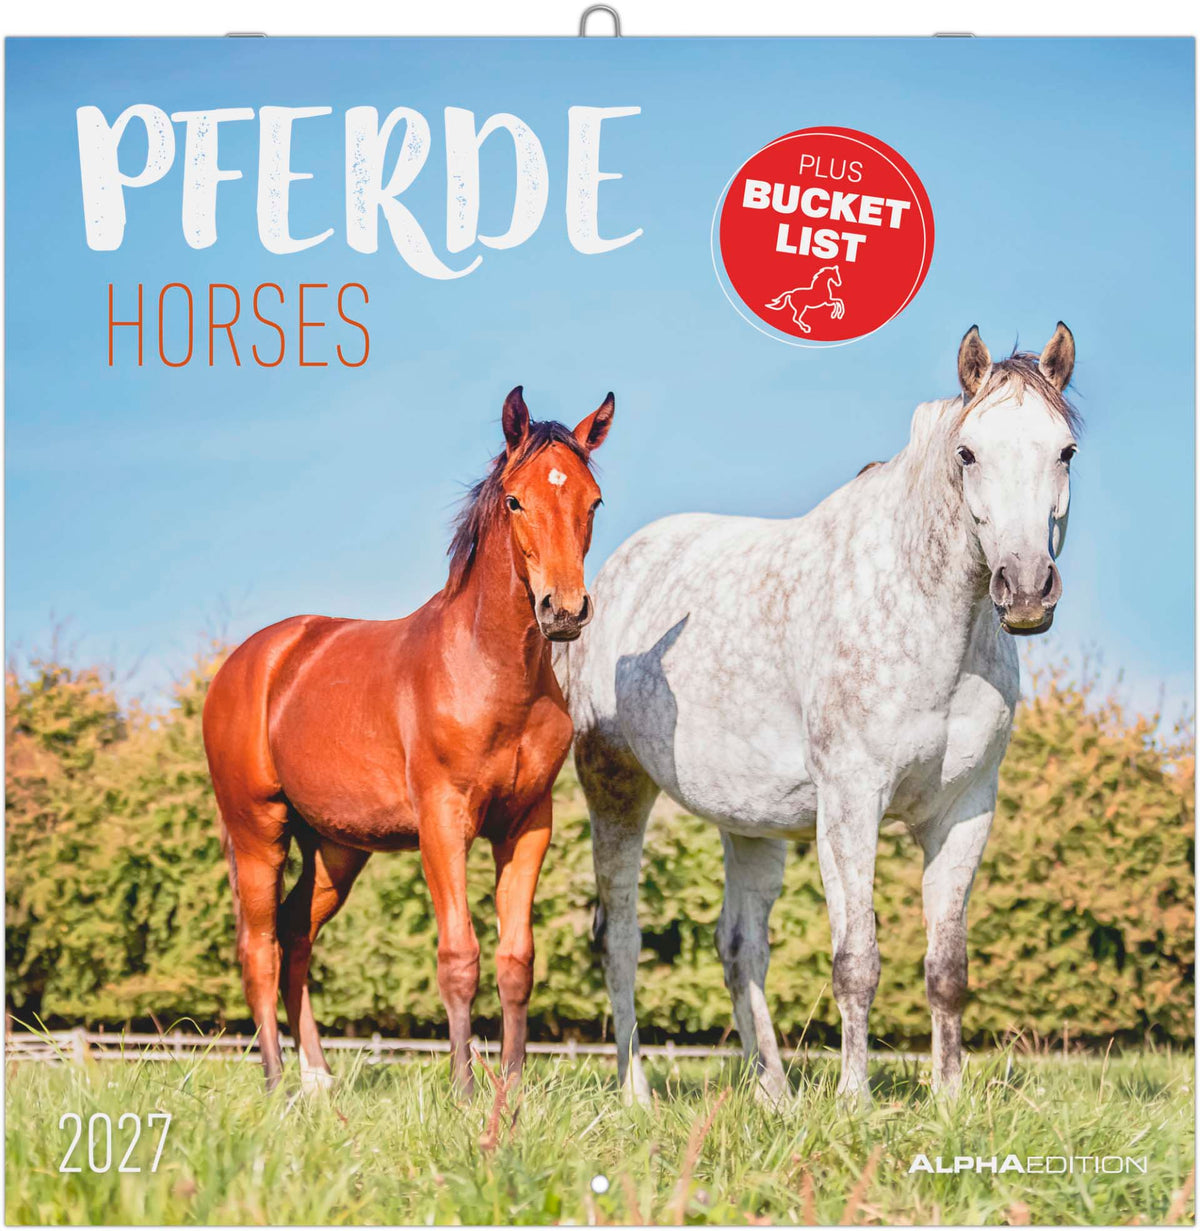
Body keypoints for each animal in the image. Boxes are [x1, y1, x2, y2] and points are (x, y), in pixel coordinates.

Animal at [203, 387, 614, 1094]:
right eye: (515, 500)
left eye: (593, 501)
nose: (563, 610)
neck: (489, 671)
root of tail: (249, 662)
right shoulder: (442, 822)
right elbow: (459, 956)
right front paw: (464, 1091)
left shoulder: (528, 825)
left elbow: (516, 960)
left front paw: (511, 1089)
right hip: (258, 831)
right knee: (259, 947)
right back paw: (278, 1082)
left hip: (336, 850)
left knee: (296, 937)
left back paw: (318, 1079)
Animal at [563, 324, 1077, 1105]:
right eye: (968, 452)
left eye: (1065, 450)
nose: (1024, 589)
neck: (927, 617)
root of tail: (618, 571)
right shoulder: (851, 805)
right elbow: (857, 959)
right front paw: (854, 1100)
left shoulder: (964, 811)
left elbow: (947, 969)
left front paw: (949, 1100)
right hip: (615, 787)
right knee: (618, 935)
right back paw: (637, 1093)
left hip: (748, 824)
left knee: (739, 947)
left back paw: (774, 1093)